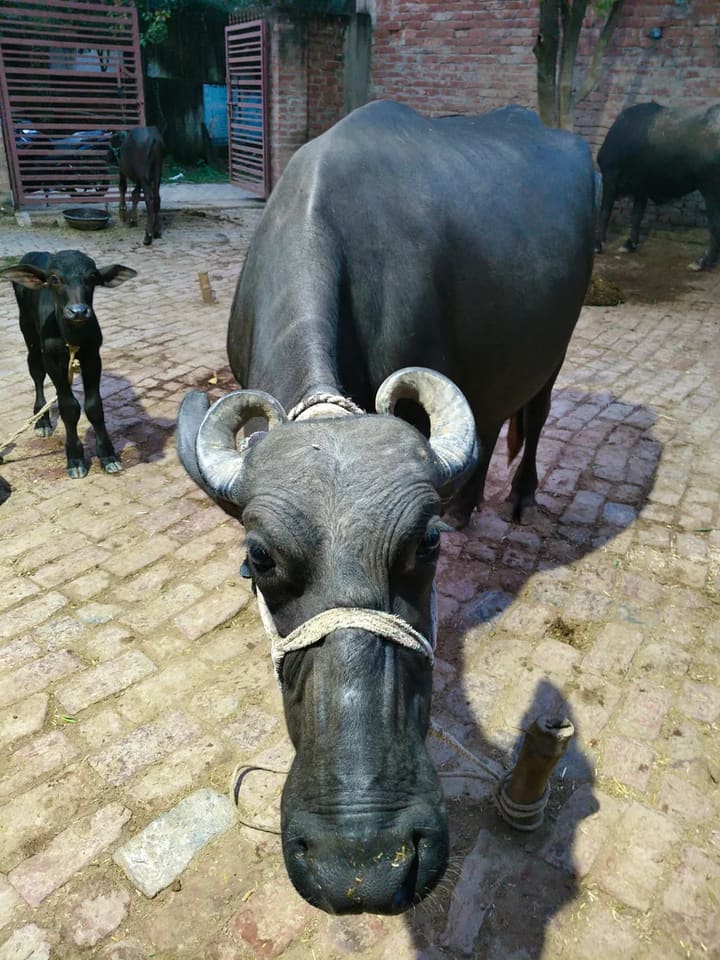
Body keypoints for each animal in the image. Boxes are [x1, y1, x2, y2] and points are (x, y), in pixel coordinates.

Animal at [1, 250, 136, 478]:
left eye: (92, 277)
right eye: (54, 279)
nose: (78, 311)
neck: (71, 336)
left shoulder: (93, 357)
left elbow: (94, 406)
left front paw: (108, 456)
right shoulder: (51, 359)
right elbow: (69, 407)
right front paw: (75, 458)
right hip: (29, 334)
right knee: (36, 373)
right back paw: (42, 420)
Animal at [177, 101, 595, 914]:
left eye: (424, 546)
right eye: (257, 557)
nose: (362, 861)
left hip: (556, 352)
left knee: (535, 414)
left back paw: (519, 497)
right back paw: (472, 500)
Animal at [596, 101, 720, 270]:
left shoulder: (610, 177)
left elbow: (604, 213)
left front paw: (598, 245)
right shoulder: (641, 188)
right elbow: (636, 215)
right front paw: (629, 244)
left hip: (711, 190)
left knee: (715, 225)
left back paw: (701, 261)